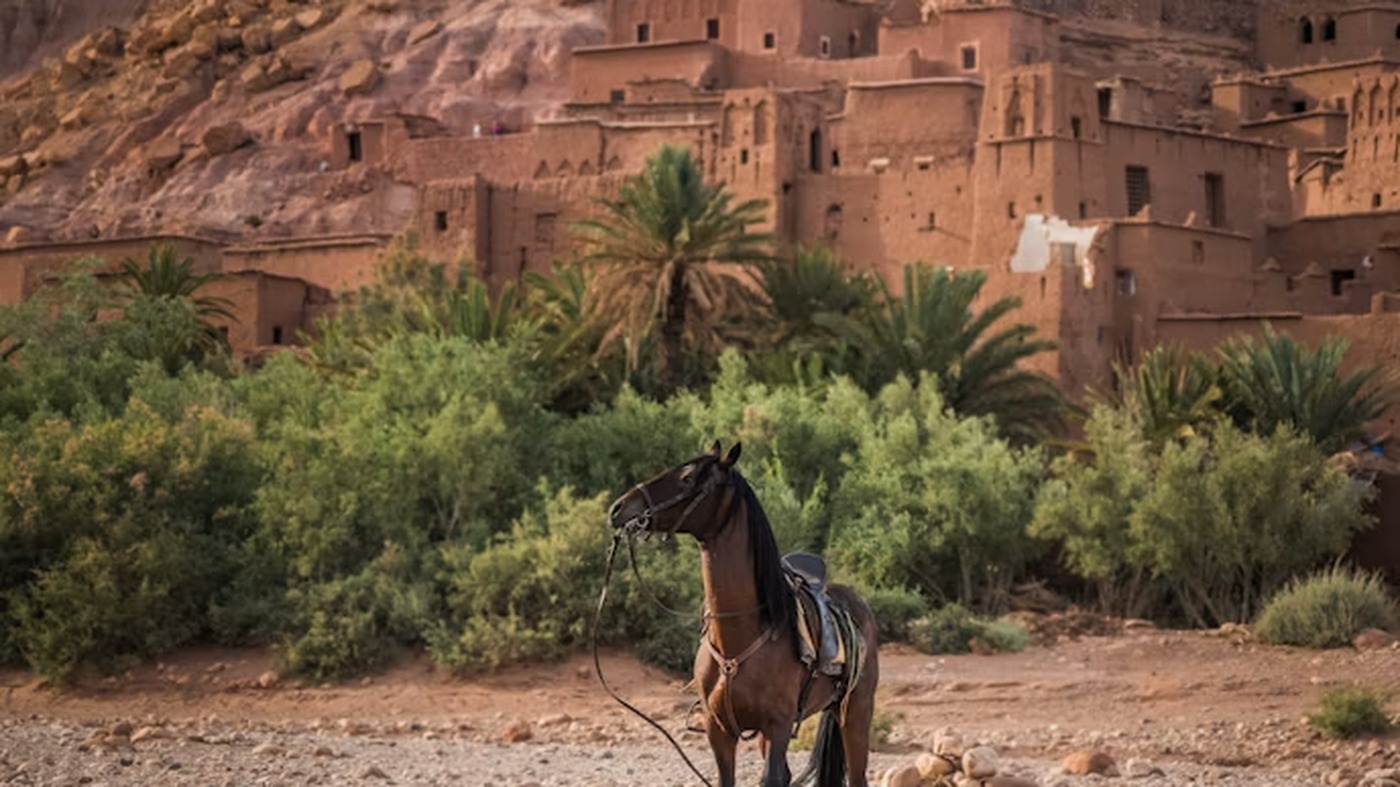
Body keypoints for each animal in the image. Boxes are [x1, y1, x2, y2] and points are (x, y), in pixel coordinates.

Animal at [608, 441, 881, 787]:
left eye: (687, 478)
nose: (619, 508)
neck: (740, 633)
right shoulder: (720, 732)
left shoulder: (778, 726)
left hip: (856, 712)